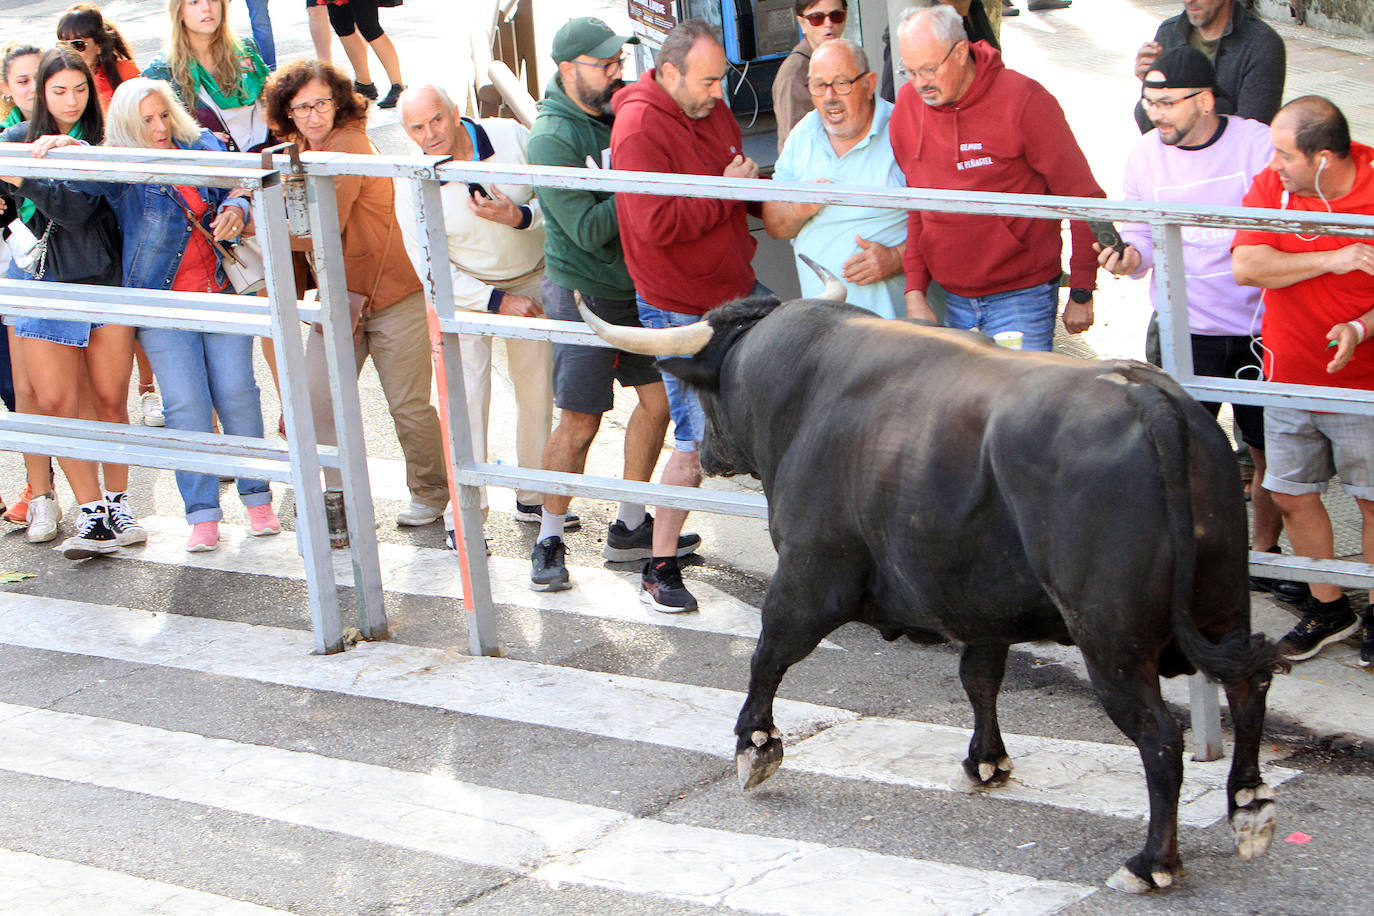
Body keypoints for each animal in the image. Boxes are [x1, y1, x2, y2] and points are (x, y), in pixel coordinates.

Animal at [579, 289, 1286, 889]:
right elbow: (980, 677)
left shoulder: (811, 570)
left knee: (1161, 740)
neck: (807, 388)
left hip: (1111, 638)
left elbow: (769, 653)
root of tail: (1150, 397)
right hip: (1221, 604)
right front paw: (987, 762)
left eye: (706, 392)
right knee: (1249, 686)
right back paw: (1248, 804)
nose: (703, 450)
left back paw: (1151, 863)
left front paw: (755, 746)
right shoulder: (983, 600)